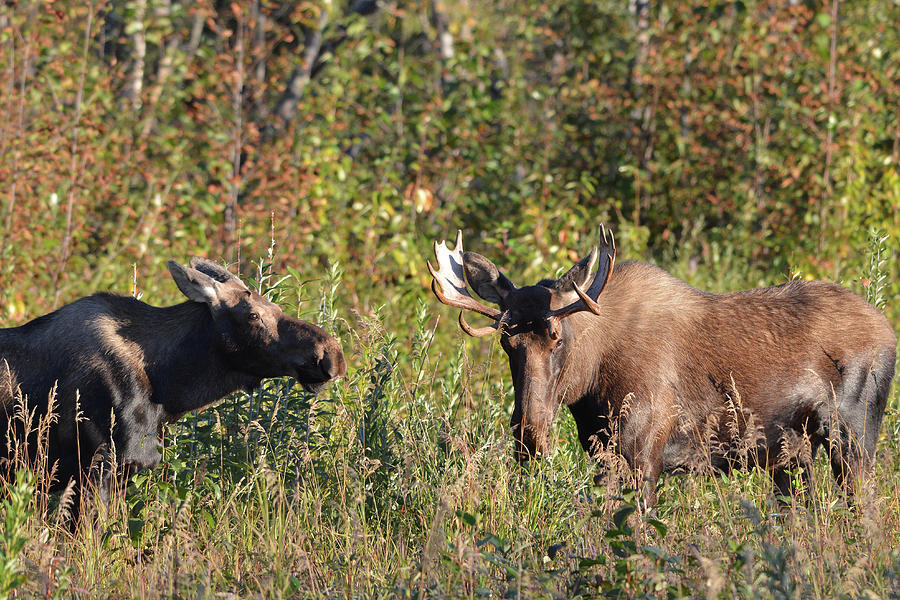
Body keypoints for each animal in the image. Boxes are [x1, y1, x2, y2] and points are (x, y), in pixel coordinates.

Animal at [428, 227, 892, 504]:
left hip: (853, 440)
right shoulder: (604, 458)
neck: (591, 387)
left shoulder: (644, 456)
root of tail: (890, 333)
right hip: (795, 457)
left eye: (557, 335)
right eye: (507, 341)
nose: (529, 433)